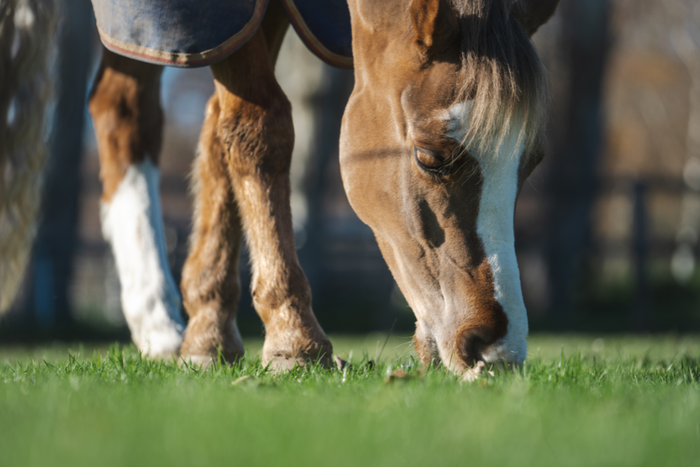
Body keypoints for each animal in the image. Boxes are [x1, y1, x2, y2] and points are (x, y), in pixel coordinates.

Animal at [1, 0, 559, 377]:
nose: (495, 348)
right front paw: (294, 339)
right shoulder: (209, 15)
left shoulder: (253, 16)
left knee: (118, 106)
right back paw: (157, 319)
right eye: (430, 158)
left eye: (532, 162)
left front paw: (208, 335)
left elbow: (219, 128)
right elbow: (257, 128)